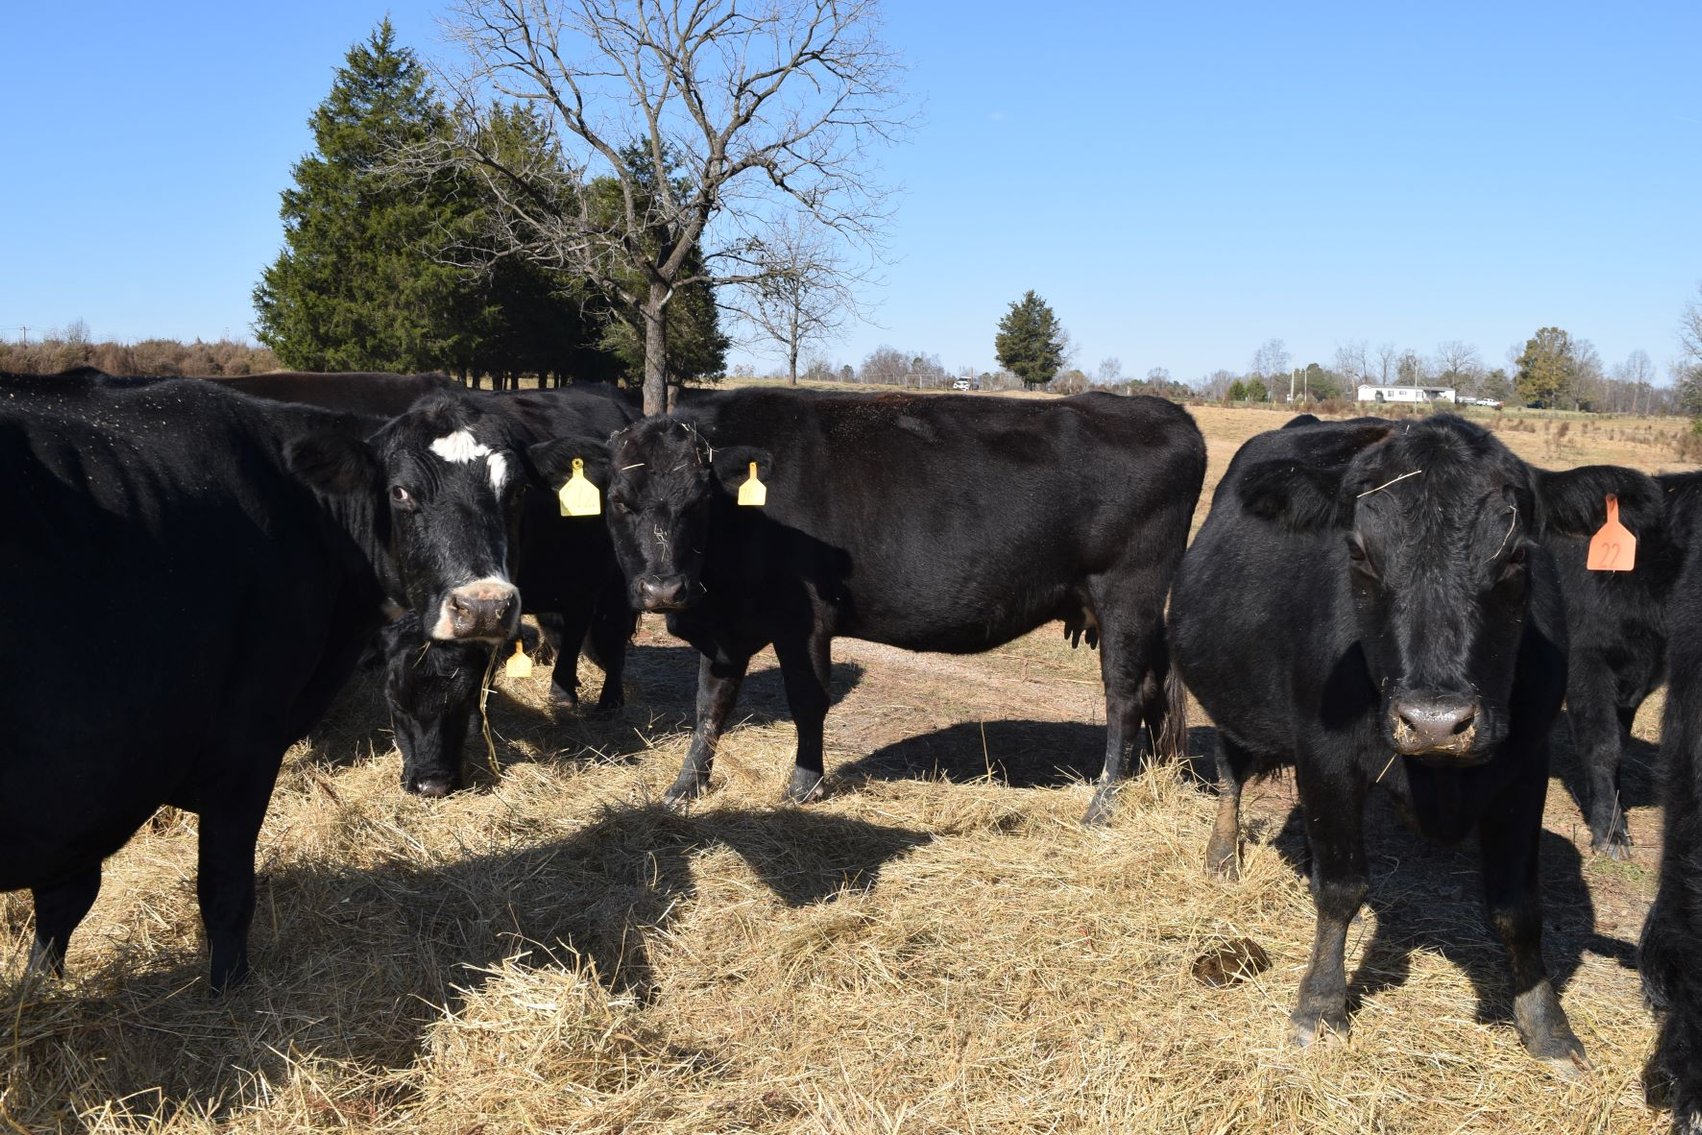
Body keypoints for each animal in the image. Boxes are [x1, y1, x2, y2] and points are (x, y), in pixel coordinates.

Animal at [0, 372, 567, 990]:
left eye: (516, 491)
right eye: (400, 492)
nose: (484, 606)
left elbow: (66, 899)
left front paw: (37, 988)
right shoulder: (241, 743)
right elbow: (223, 888)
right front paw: (228, 989)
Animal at [588, 388, 1205, 823]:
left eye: (698, 501)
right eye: (618, 500)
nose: (664, 590)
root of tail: (1164, 412)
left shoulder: (804, 618)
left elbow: (807, 700)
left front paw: (802, 786)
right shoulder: (725, 626)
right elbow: (710, 706)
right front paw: (684, 788)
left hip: (1128, 597)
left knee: (1124, 698)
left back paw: (1104, 802)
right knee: (1153, 692)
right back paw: (1151, 778)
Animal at [1168, 412, 1652, 1073]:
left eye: (1516, 557)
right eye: (1358, 553)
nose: (1435, 721)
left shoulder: (1527, 764)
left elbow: (1518, 907)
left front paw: (1547, 1025)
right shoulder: (1323, 754)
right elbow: (1342, 889)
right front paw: (1321, 1006)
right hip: (1236, 709)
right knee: (1230, 774)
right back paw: (1222, 857)